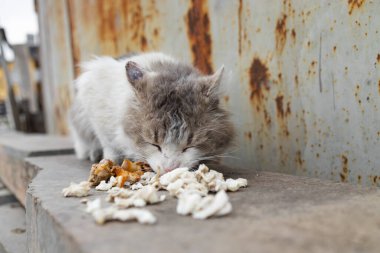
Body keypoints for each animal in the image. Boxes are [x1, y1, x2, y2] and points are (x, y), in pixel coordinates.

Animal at [69, 52, 233, 174]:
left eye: (190, 145)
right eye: (154, 144)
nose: (169, 169)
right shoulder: (94, 102)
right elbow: (108, 144)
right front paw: (109, 161)